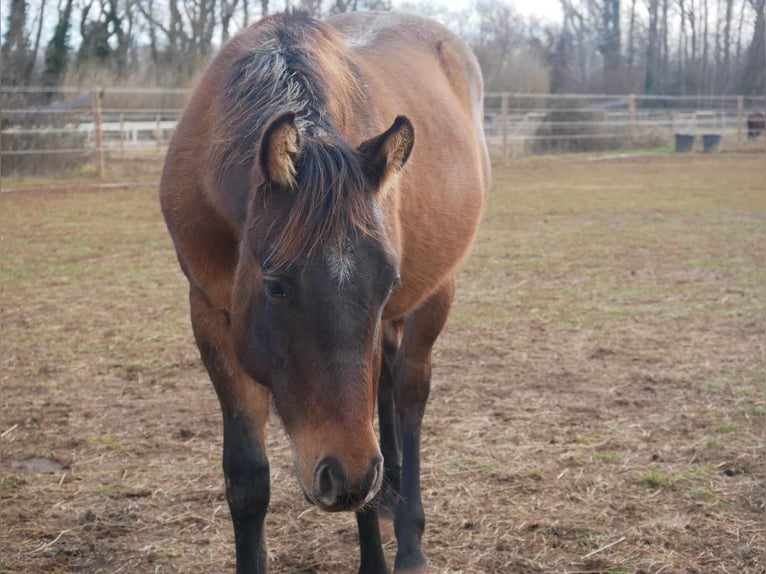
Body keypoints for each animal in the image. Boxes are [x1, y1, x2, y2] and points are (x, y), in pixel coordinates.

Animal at [160, 10, 492, 574]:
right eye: (275, 286)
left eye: (387, 282)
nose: (343, 475)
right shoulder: (209, 314)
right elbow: (247, 480)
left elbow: (370, 443)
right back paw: (392, 494)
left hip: (437, 295)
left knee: (409, 394)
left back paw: (409, 537)